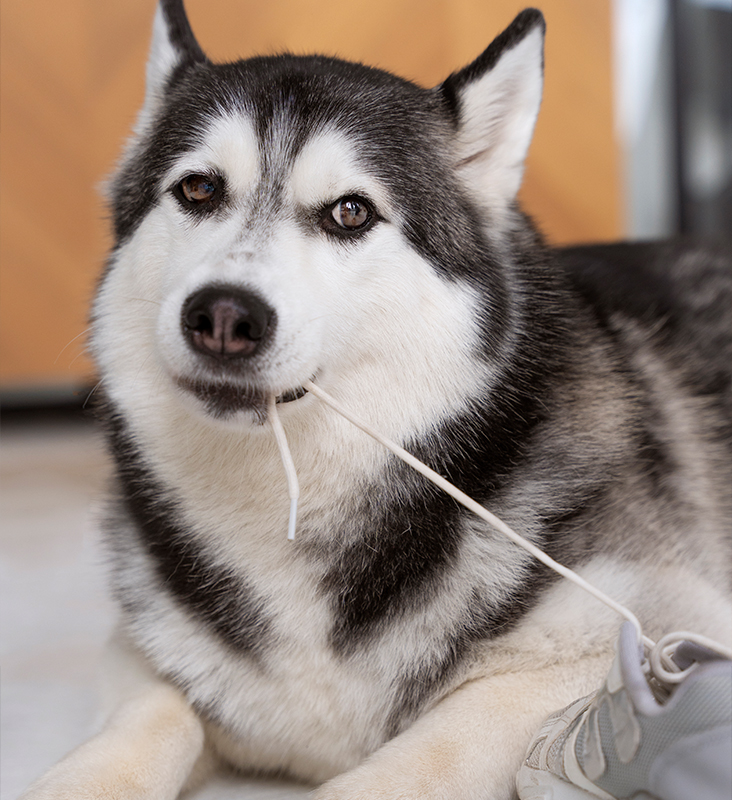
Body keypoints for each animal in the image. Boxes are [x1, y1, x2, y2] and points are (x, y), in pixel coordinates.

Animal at [24, 1, 732, 800]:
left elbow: (429, 751)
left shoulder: (659, 627)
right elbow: (152, 715)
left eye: (350, 212)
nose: (224, 317)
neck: (293, 498)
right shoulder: (148, 648)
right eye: (199, 189)